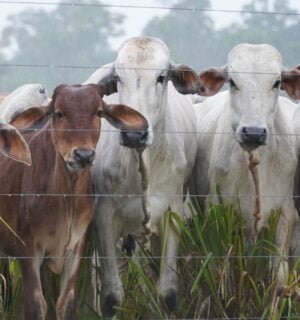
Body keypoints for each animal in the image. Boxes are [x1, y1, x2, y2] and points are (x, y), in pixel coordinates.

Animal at [0, 84, 148, 318]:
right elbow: (35, 305)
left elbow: (66, 303)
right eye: (59, 113)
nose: (83, 155)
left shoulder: (76, 248)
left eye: (98, 112)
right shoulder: (28, 249)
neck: (65, 200)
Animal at [84, 35, 202, 318]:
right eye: (118, 78)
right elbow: (111, 297)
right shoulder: (104, 217)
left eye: (161, 77)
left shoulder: (172, 212)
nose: (134, 134)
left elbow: (167, 293)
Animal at [189, 43, 300, 292]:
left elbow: (279, 281)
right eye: (232, 82)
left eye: (277, 82)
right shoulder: (217, 211)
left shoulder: (284, 214)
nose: (253, 132)